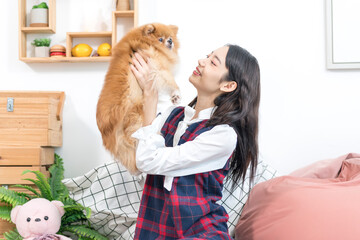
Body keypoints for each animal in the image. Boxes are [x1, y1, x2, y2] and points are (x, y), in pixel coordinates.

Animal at [96, 23, 180, 173]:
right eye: (160, 39)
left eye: (170, 38)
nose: (170, 42)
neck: (147, 43)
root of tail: (106, 130)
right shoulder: (157, 67)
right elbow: (170, 81)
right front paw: (176, 93)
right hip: (137, 117)